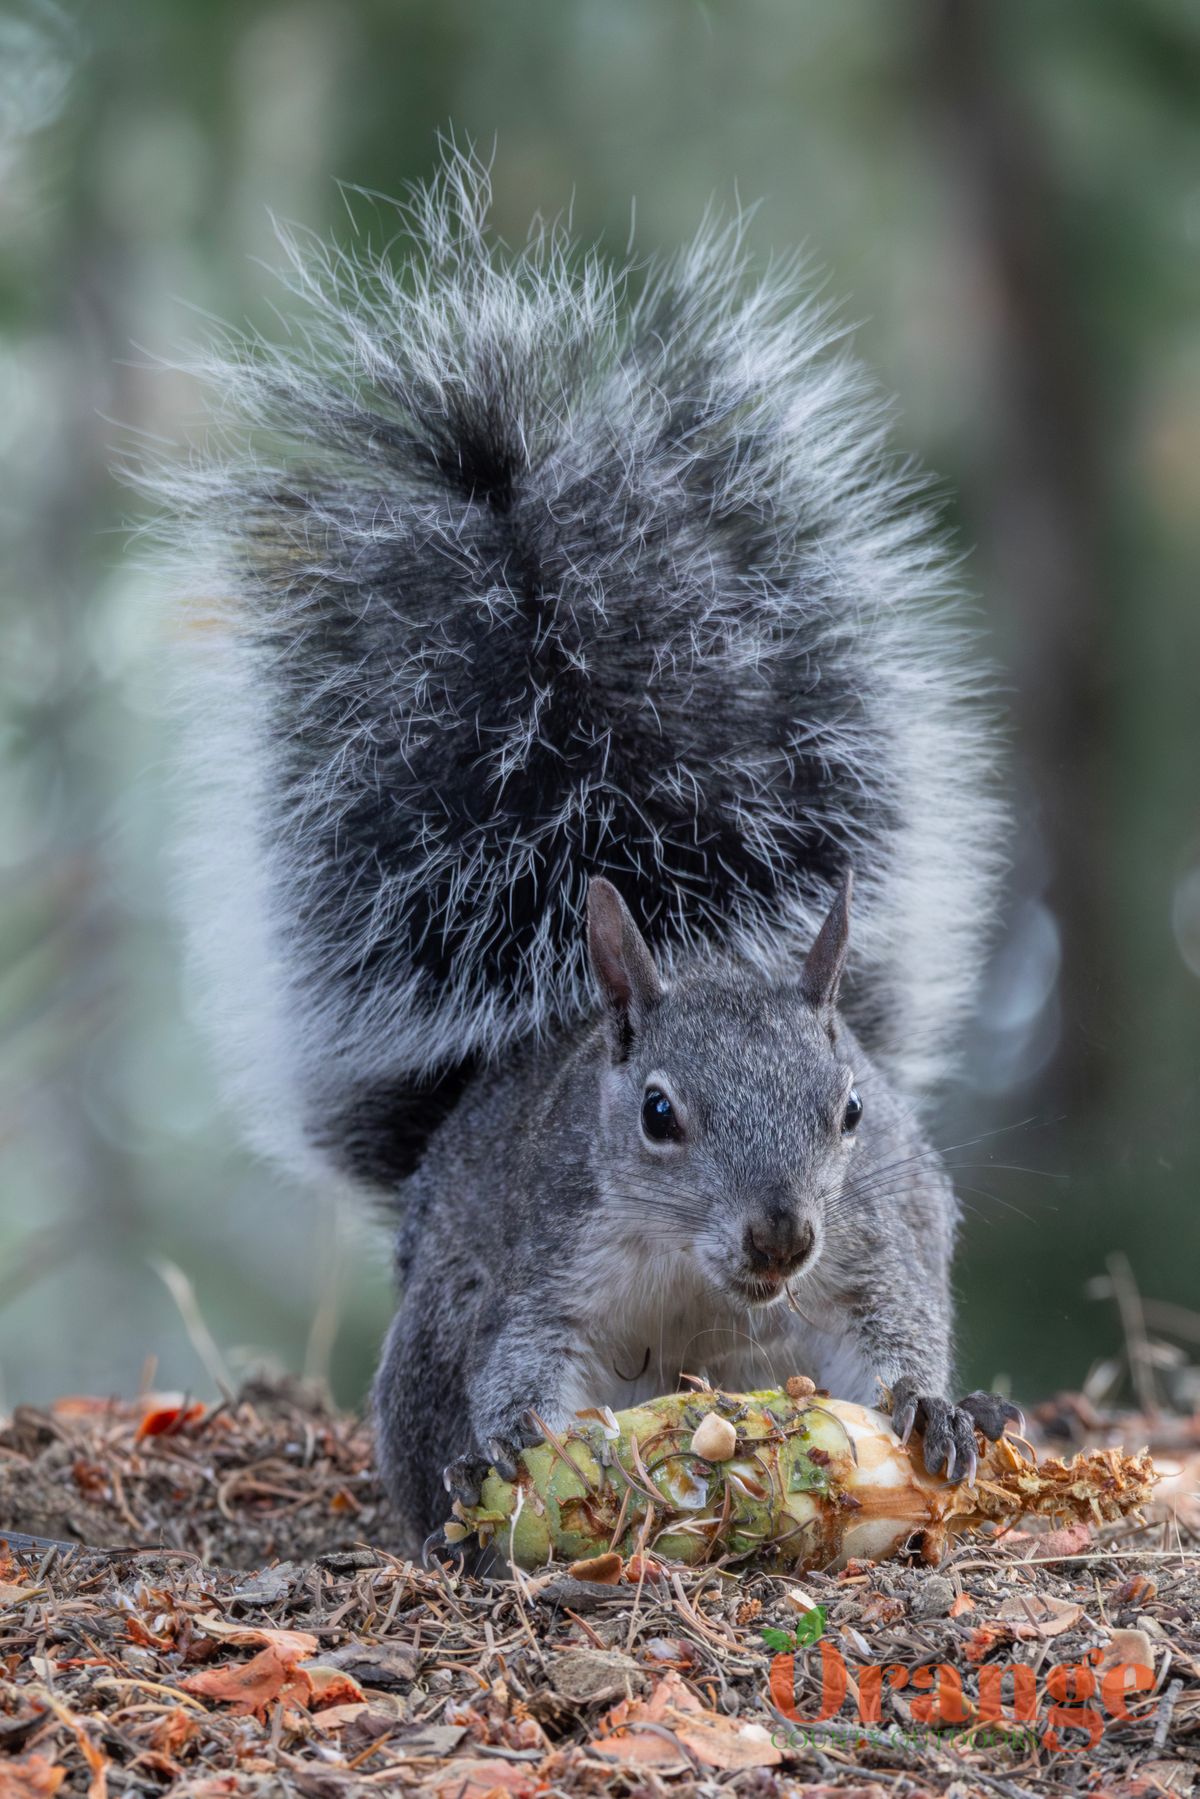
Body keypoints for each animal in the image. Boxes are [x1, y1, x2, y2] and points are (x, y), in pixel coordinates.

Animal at [151, 155, 1021, 1549]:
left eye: (850, 1107)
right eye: (657, 1112)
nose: (780, 1237)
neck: (702, 1281)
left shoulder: (874, 1238)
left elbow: (891, 1335)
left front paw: (937, 1408)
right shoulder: (548, 1265)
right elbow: (531, 1357)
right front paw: (517, 1443)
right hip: (429, 1330)